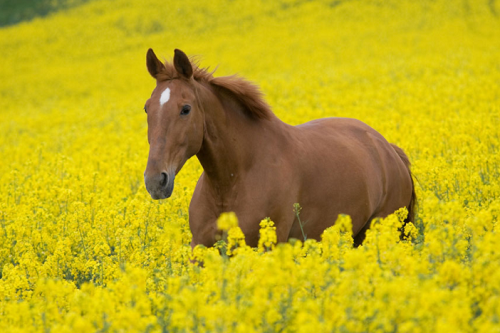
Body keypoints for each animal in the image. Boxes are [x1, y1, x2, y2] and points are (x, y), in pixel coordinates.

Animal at [143, 48, 416, 246]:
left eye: (185, 109)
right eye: (147, 108)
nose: (156, 181)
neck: (232, 181)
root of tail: (388, 149)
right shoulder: (200, 248)